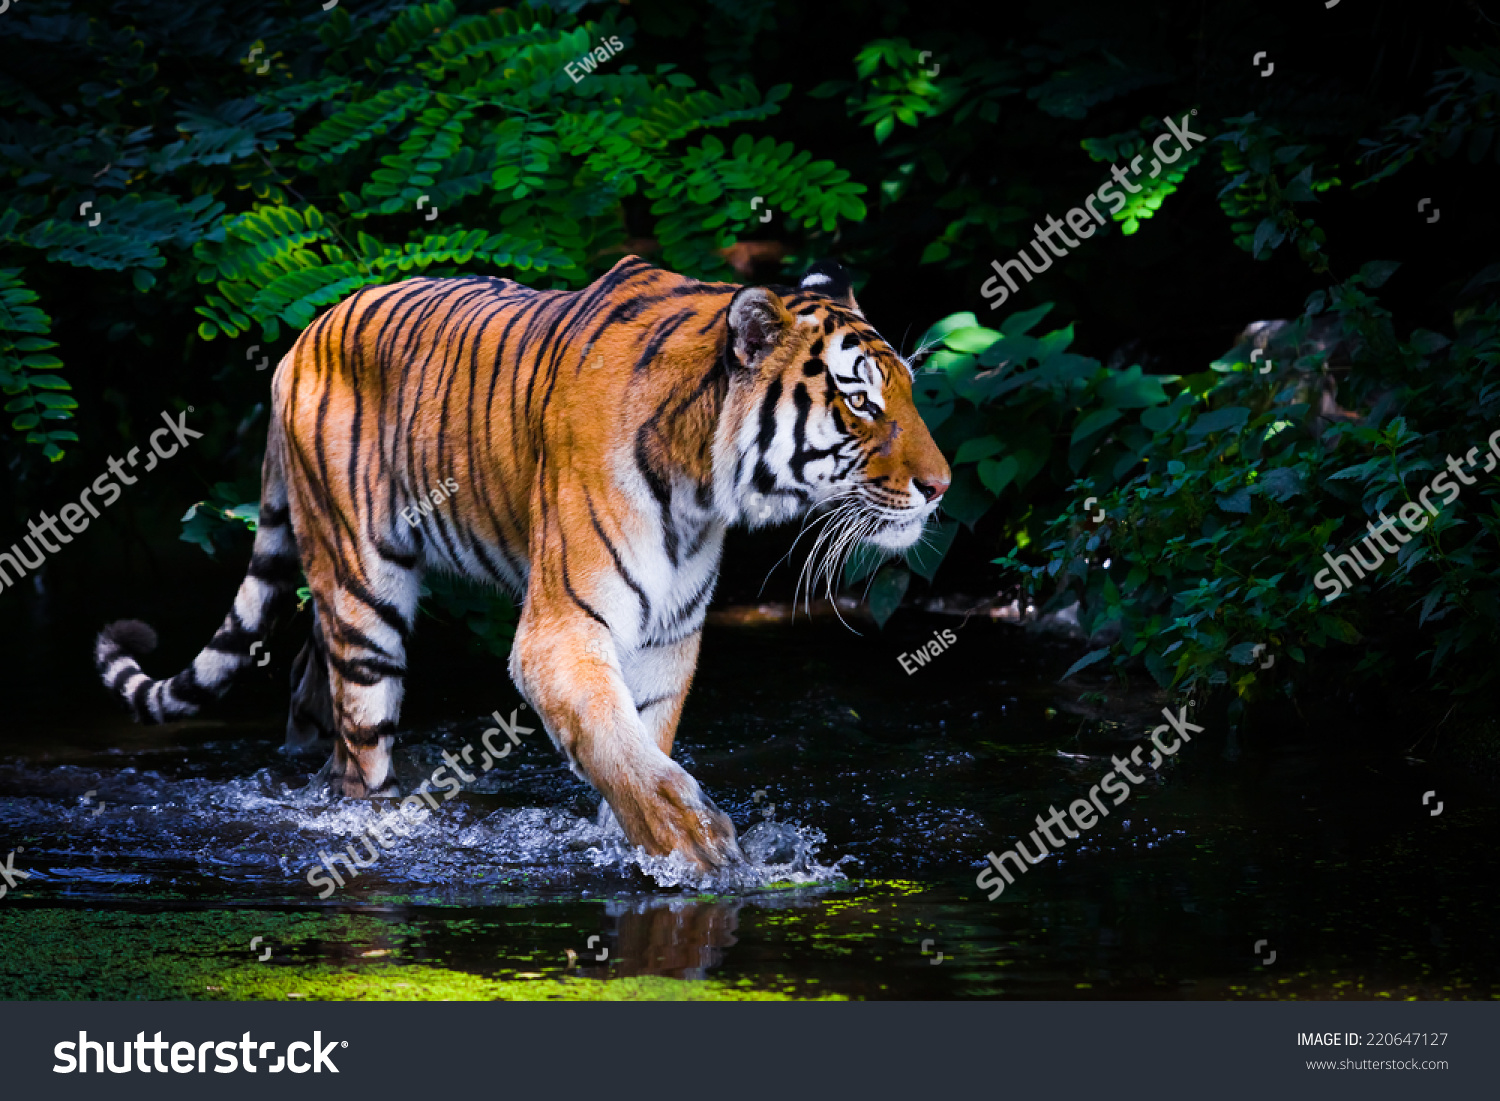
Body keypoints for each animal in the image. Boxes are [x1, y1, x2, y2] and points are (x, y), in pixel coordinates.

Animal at [94, 256, 951, 872]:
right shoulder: (563, 629)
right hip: (363, 593)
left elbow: (638, 740)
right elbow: (618, 746)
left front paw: (635, 843)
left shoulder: (668, 638)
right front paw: (691, 839)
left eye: (909, 391)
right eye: (861, 402)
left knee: (313, 693)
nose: (941, 486)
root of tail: (299, 340)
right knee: (361, 746)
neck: (703, 484)